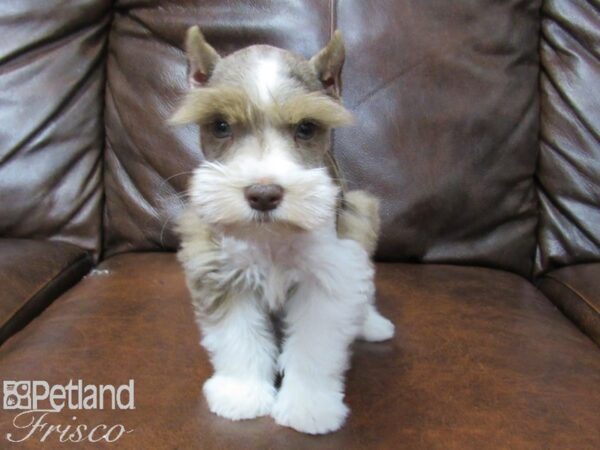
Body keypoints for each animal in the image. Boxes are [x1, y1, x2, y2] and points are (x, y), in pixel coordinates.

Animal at [171, 26, 394, 434]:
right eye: (220, 126)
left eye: (306, 127)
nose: (263, 194)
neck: (271, 239)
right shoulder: (222, 272)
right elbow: (238, 337)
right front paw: (241, 393)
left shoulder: (328, 277)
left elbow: (314, 347)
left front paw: (309, 405)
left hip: (362, 222)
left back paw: (371, 323)